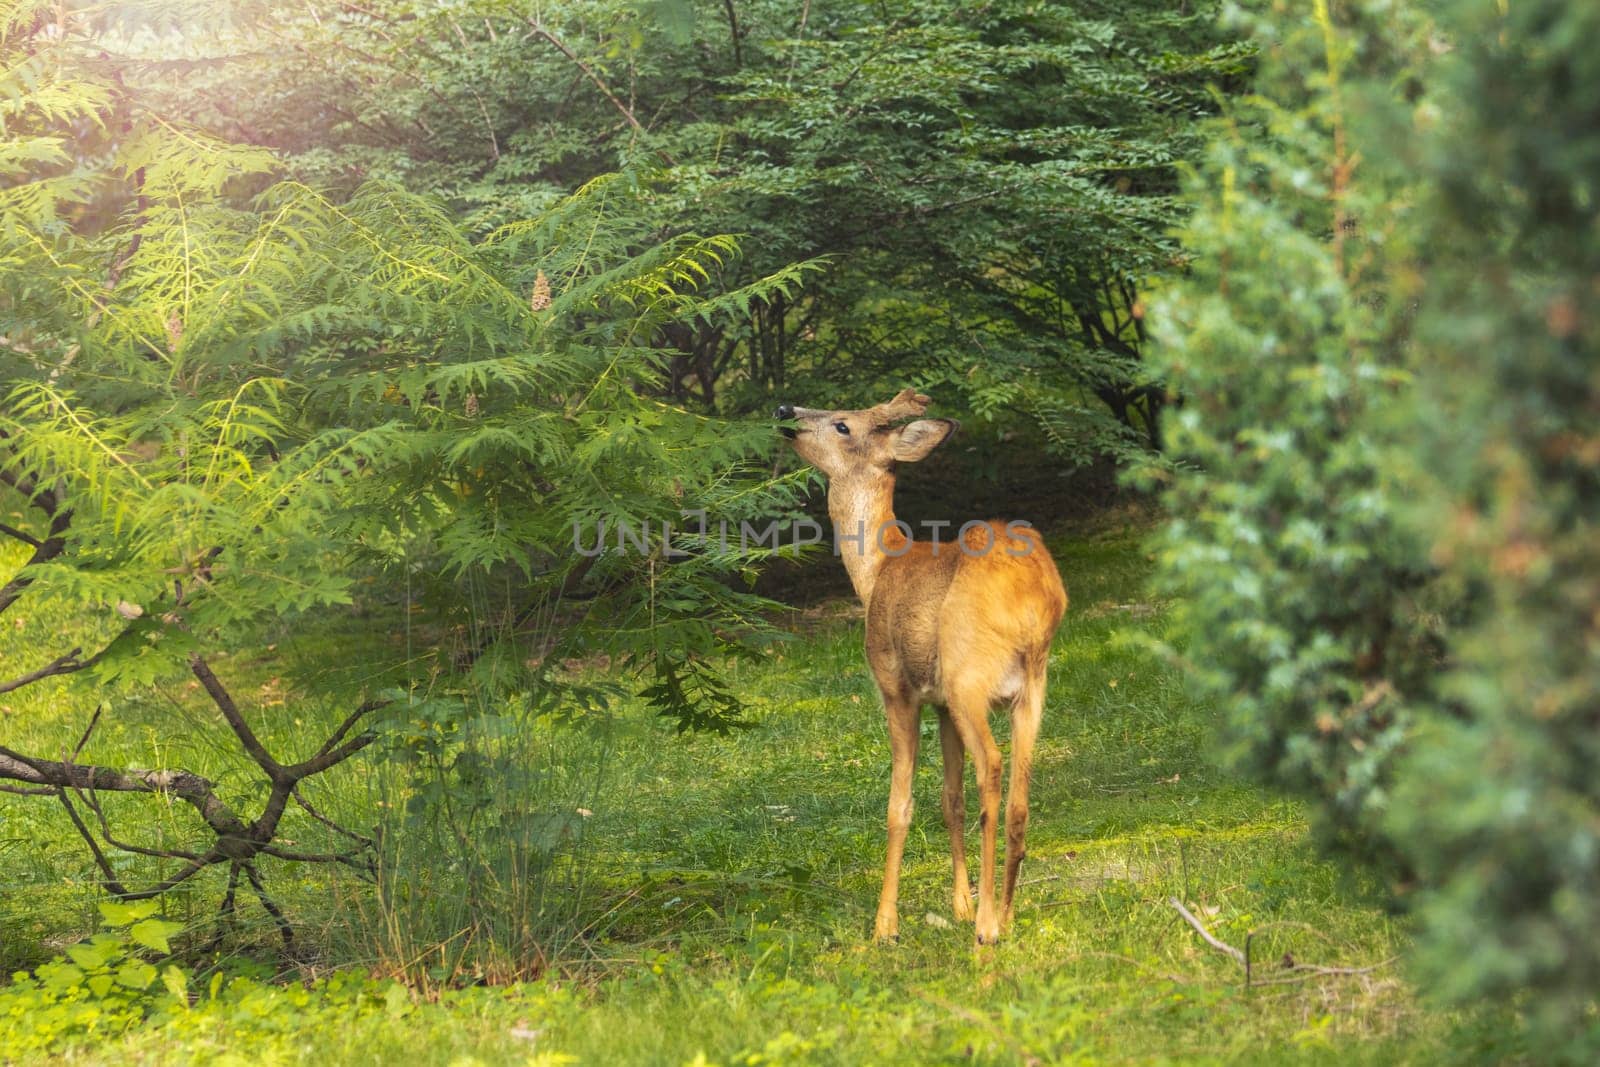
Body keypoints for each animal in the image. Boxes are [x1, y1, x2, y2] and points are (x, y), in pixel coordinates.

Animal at [780, 390, 1068, 940]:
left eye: (843, 425)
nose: (785, 413)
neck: (876, 570)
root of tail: (1034, 600)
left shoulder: (897, 686)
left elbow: (900, 805)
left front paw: (885, 925)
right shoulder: (940, 706)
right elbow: (949, 800)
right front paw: (957, 905)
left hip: (968, 675)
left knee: (993, 768)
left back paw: (987, 927)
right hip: (1032, 687)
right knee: (1019, 795)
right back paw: (1004, 914)